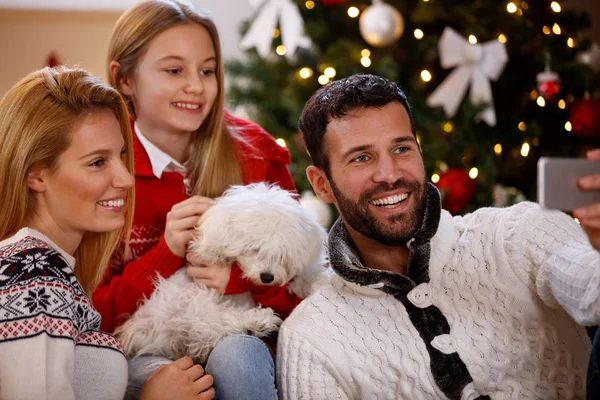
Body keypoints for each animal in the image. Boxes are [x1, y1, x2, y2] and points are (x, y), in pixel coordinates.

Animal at [114, 183, 326, 364]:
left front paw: (313, 280)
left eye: (283, 256)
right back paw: (257, 320)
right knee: (212, 323)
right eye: (254, 249)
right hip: (188, 302)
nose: (267, 277)